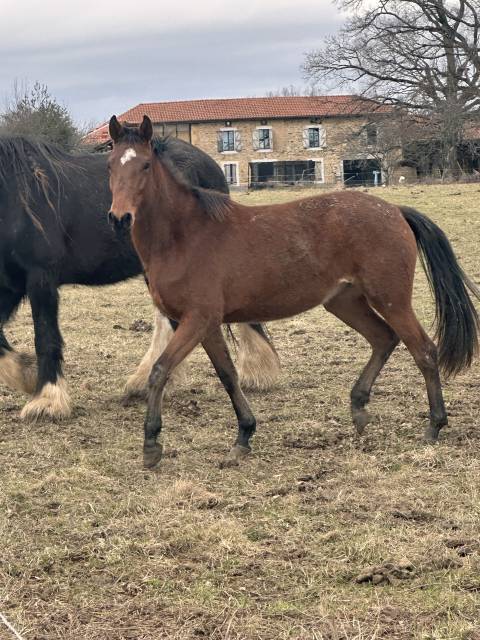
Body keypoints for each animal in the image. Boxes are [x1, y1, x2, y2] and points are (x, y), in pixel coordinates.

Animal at [0, 134, 279, 421]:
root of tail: (209, 163)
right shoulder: (10, 284)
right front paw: (27, 374)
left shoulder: (40, 278)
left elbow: (45, 336)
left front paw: (47, 400)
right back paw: (145, 383)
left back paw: (258, 371)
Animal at [107, 115, 480, 469]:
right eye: (110, 165)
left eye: (145, 165)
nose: (119, 218)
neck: (184, 236)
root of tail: (395, 211)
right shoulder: (205, 324)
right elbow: (228, 376)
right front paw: (243, 436)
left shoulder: (198, 319)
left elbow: (160, 371)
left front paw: (151, 445)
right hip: (345, 302)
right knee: (383, 338)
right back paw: (359, 409)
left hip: (392, 300)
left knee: (424, 351)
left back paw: (434, 425)